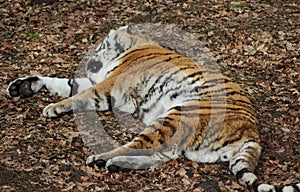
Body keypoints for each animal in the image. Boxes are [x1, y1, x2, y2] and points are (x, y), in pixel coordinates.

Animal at [5, 25, 298, 192]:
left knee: (139, 145)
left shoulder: (107, 87)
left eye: (97, 47)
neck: (133, 45)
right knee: (160, 154)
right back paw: (116, 164)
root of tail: (252, 134)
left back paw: (101, 158)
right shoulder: (99, 82)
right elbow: (63, 83)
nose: (85, 61)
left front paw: (53, 107)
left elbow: (79, 95)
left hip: (179, 114)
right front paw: (23, 86)